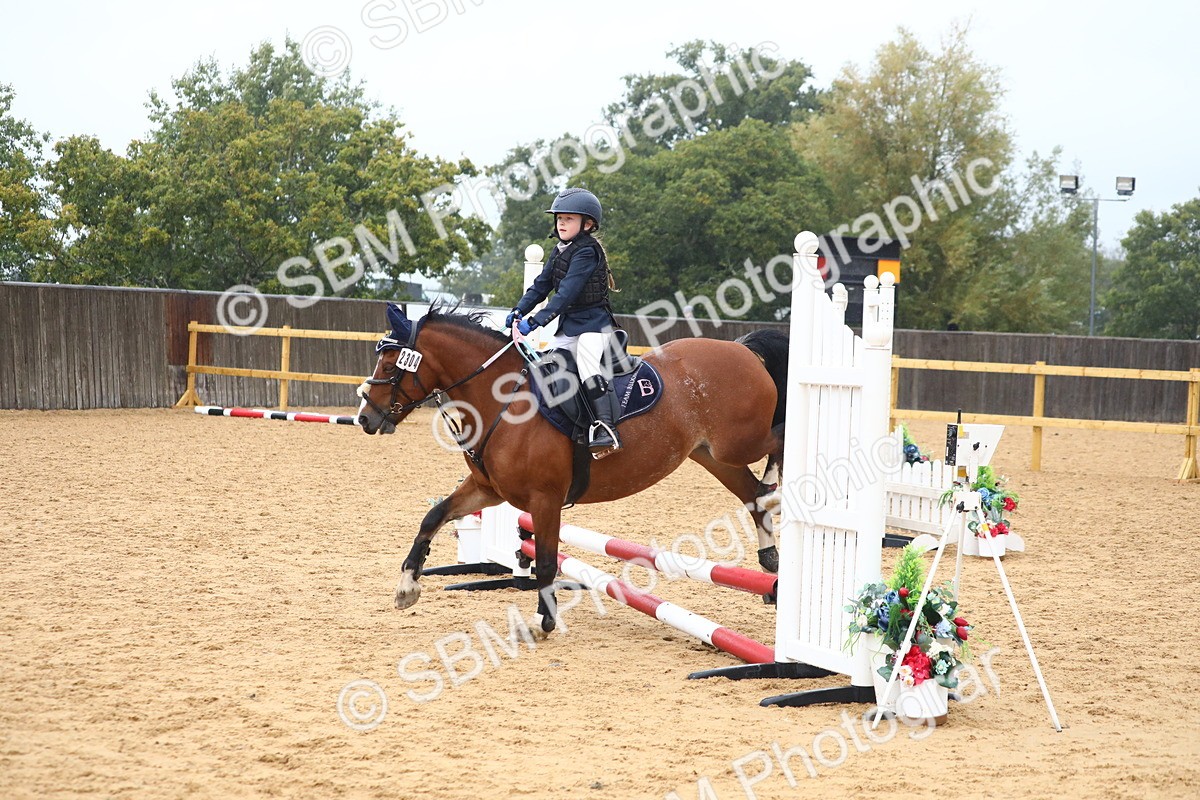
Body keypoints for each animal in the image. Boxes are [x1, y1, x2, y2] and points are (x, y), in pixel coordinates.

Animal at [356, 301, 789, 634]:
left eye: (391, 364)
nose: (364, 417)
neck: (503, 399)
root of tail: (742, 349)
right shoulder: (488, 490)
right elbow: (433, 517)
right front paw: (407, 587)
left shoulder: (545, 499)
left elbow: (547, 561)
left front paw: (542, 621)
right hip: (712, 455)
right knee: (751, 497)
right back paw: (770, 561)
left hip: (737, 442)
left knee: (780, 441)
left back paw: (777, 490)